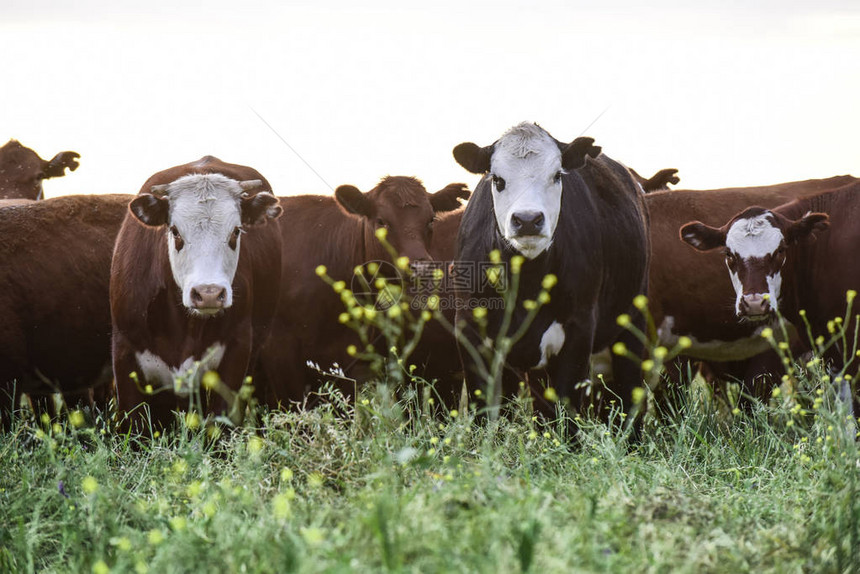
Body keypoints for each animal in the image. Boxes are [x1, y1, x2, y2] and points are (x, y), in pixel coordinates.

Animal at [454, 122, 648, 418]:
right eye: (497, 180)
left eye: (557, 175)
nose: (527, 220)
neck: (527, 283)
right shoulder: (470, 333)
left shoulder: (579, 331)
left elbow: (568, 413)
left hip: (632, 323)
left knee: (630, 394)